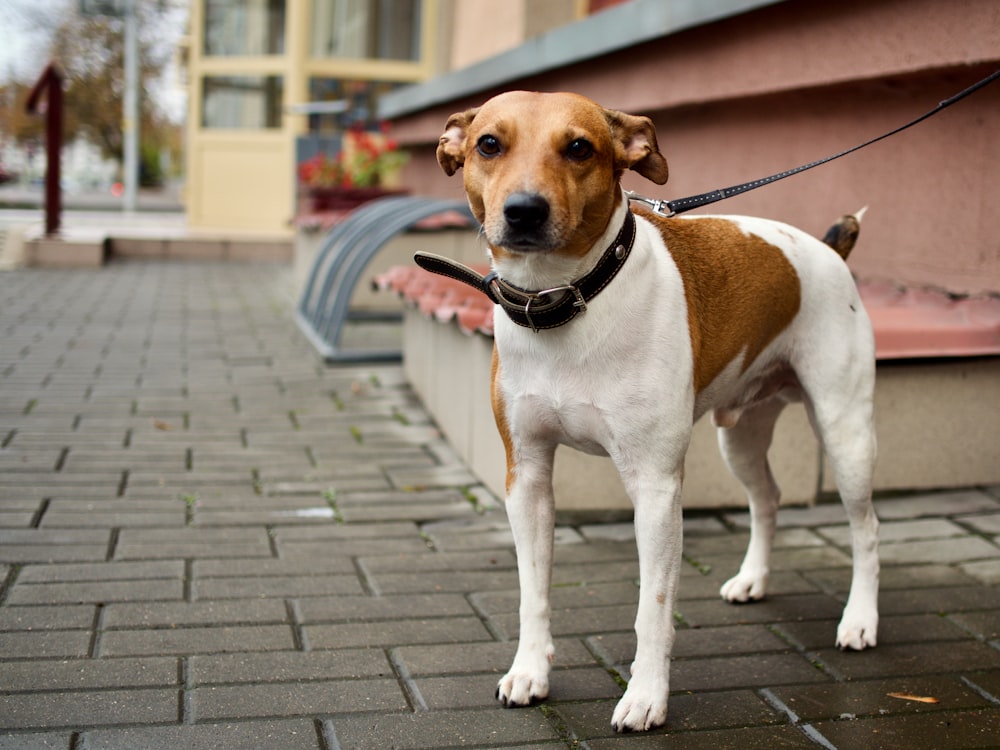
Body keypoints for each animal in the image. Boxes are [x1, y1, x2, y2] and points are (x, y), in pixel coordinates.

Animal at [434, 92, 880, 736]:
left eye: (579, 148)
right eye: (489, 144)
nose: (523, 211)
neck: (570, 303)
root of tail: (828, 249)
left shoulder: (656, 487)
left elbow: (654, 608)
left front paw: (645, 697)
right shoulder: (528, 477)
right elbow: (532, 591)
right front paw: (530, 671)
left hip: (846, 435)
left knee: (866, 529)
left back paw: (860, 620)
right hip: (740, 436)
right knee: (767, 498)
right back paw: (753, 580)